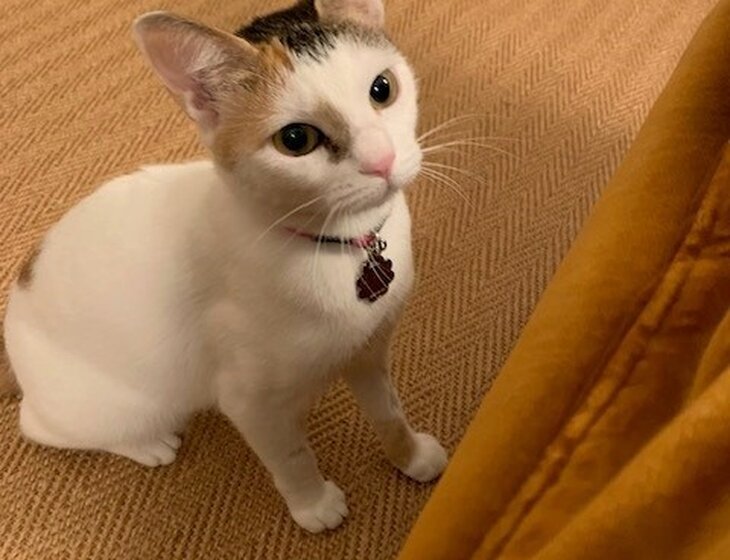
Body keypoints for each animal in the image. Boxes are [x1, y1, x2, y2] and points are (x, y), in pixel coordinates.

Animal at [2, 0, 447, 533]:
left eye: (382, 89)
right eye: (296, 139)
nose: (381, 160)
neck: (336, 247)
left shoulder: (369, 350)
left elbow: (388, 411)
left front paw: (411, 455)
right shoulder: (251, 402)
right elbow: (292, 456)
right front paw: (313, 505)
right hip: (120, 406)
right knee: (39, 425)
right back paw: (148, 444)